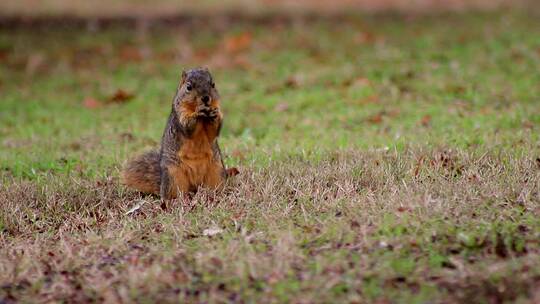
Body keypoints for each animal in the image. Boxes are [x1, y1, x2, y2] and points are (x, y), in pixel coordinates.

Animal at [121, 67, 235, 200]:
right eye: (188, 87)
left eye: (213, 84)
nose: (206, 98)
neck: (203, 118)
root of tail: (195, 185)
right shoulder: (180, 114)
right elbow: (188, 126)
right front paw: (198, 112)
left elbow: (213, 132)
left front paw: (215, 114)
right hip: (173, 176)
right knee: (174, 193)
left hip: (217, 172)